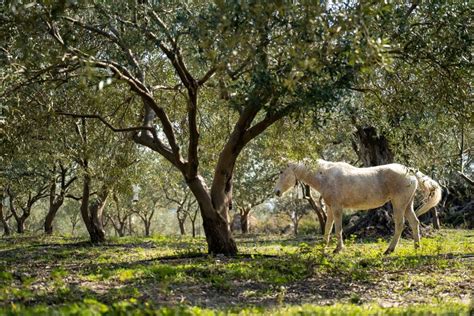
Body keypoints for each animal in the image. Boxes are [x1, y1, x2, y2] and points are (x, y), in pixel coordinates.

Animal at [272, 160, 442, 254]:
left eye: (282, 172)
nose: (277, 192)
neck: (325, 175)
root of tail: (410, 171)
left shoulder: (337, 208)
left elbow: (338, 229)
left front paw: (338, 249)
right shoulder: (330, 208)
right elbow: (328, 228)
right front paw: (323, 247)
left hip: (399, 204)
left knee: (400, 225)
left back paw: (389, 250)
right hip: (407, 205)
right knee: (414, 222)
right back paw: (417, 247)